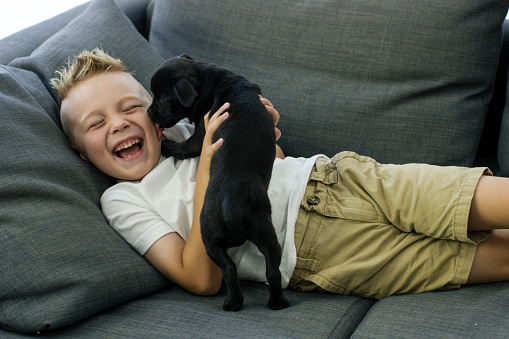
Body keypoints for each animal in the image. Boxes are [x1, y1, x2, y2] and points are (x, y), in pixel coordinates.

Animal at [148, 56, 290, 314]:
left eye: (162, 99)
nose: (148, 112)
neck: (207, 79)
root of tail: (231, 203)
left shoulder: (200, 137)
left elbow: (184, 146)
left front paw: (164, 144)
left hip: (209, 238)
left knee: (230, 269)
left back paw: (235, 304)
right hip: (261, 233)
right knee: (268, 270)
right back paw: (272, 304)